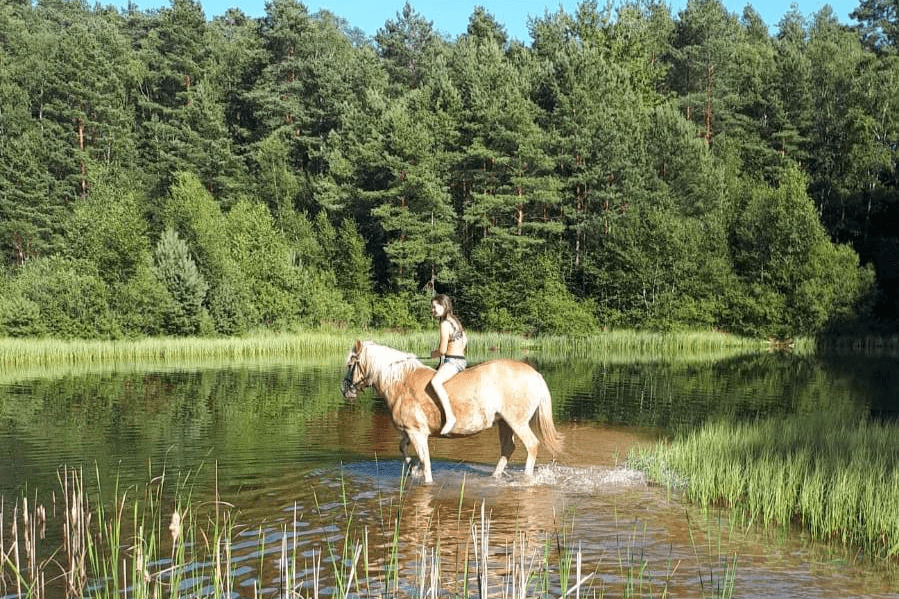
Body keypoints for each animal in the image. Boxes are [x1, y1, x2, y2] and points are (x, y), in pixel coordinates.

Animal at [341, 340, 563, 484]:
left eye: (351, 364)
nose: (345, 389)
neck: (401, 382)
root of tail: (536, 375)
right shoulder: (409, 432)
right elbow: (403, 448)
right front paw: (412, 468)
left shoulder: (416, 432)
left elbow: (426, 462)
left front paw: (422, 474)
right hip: (504, 424)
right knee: (508, 449)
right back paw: (494, 477)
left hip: (517, 422)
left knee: (532, 445)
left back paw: (526, 478)